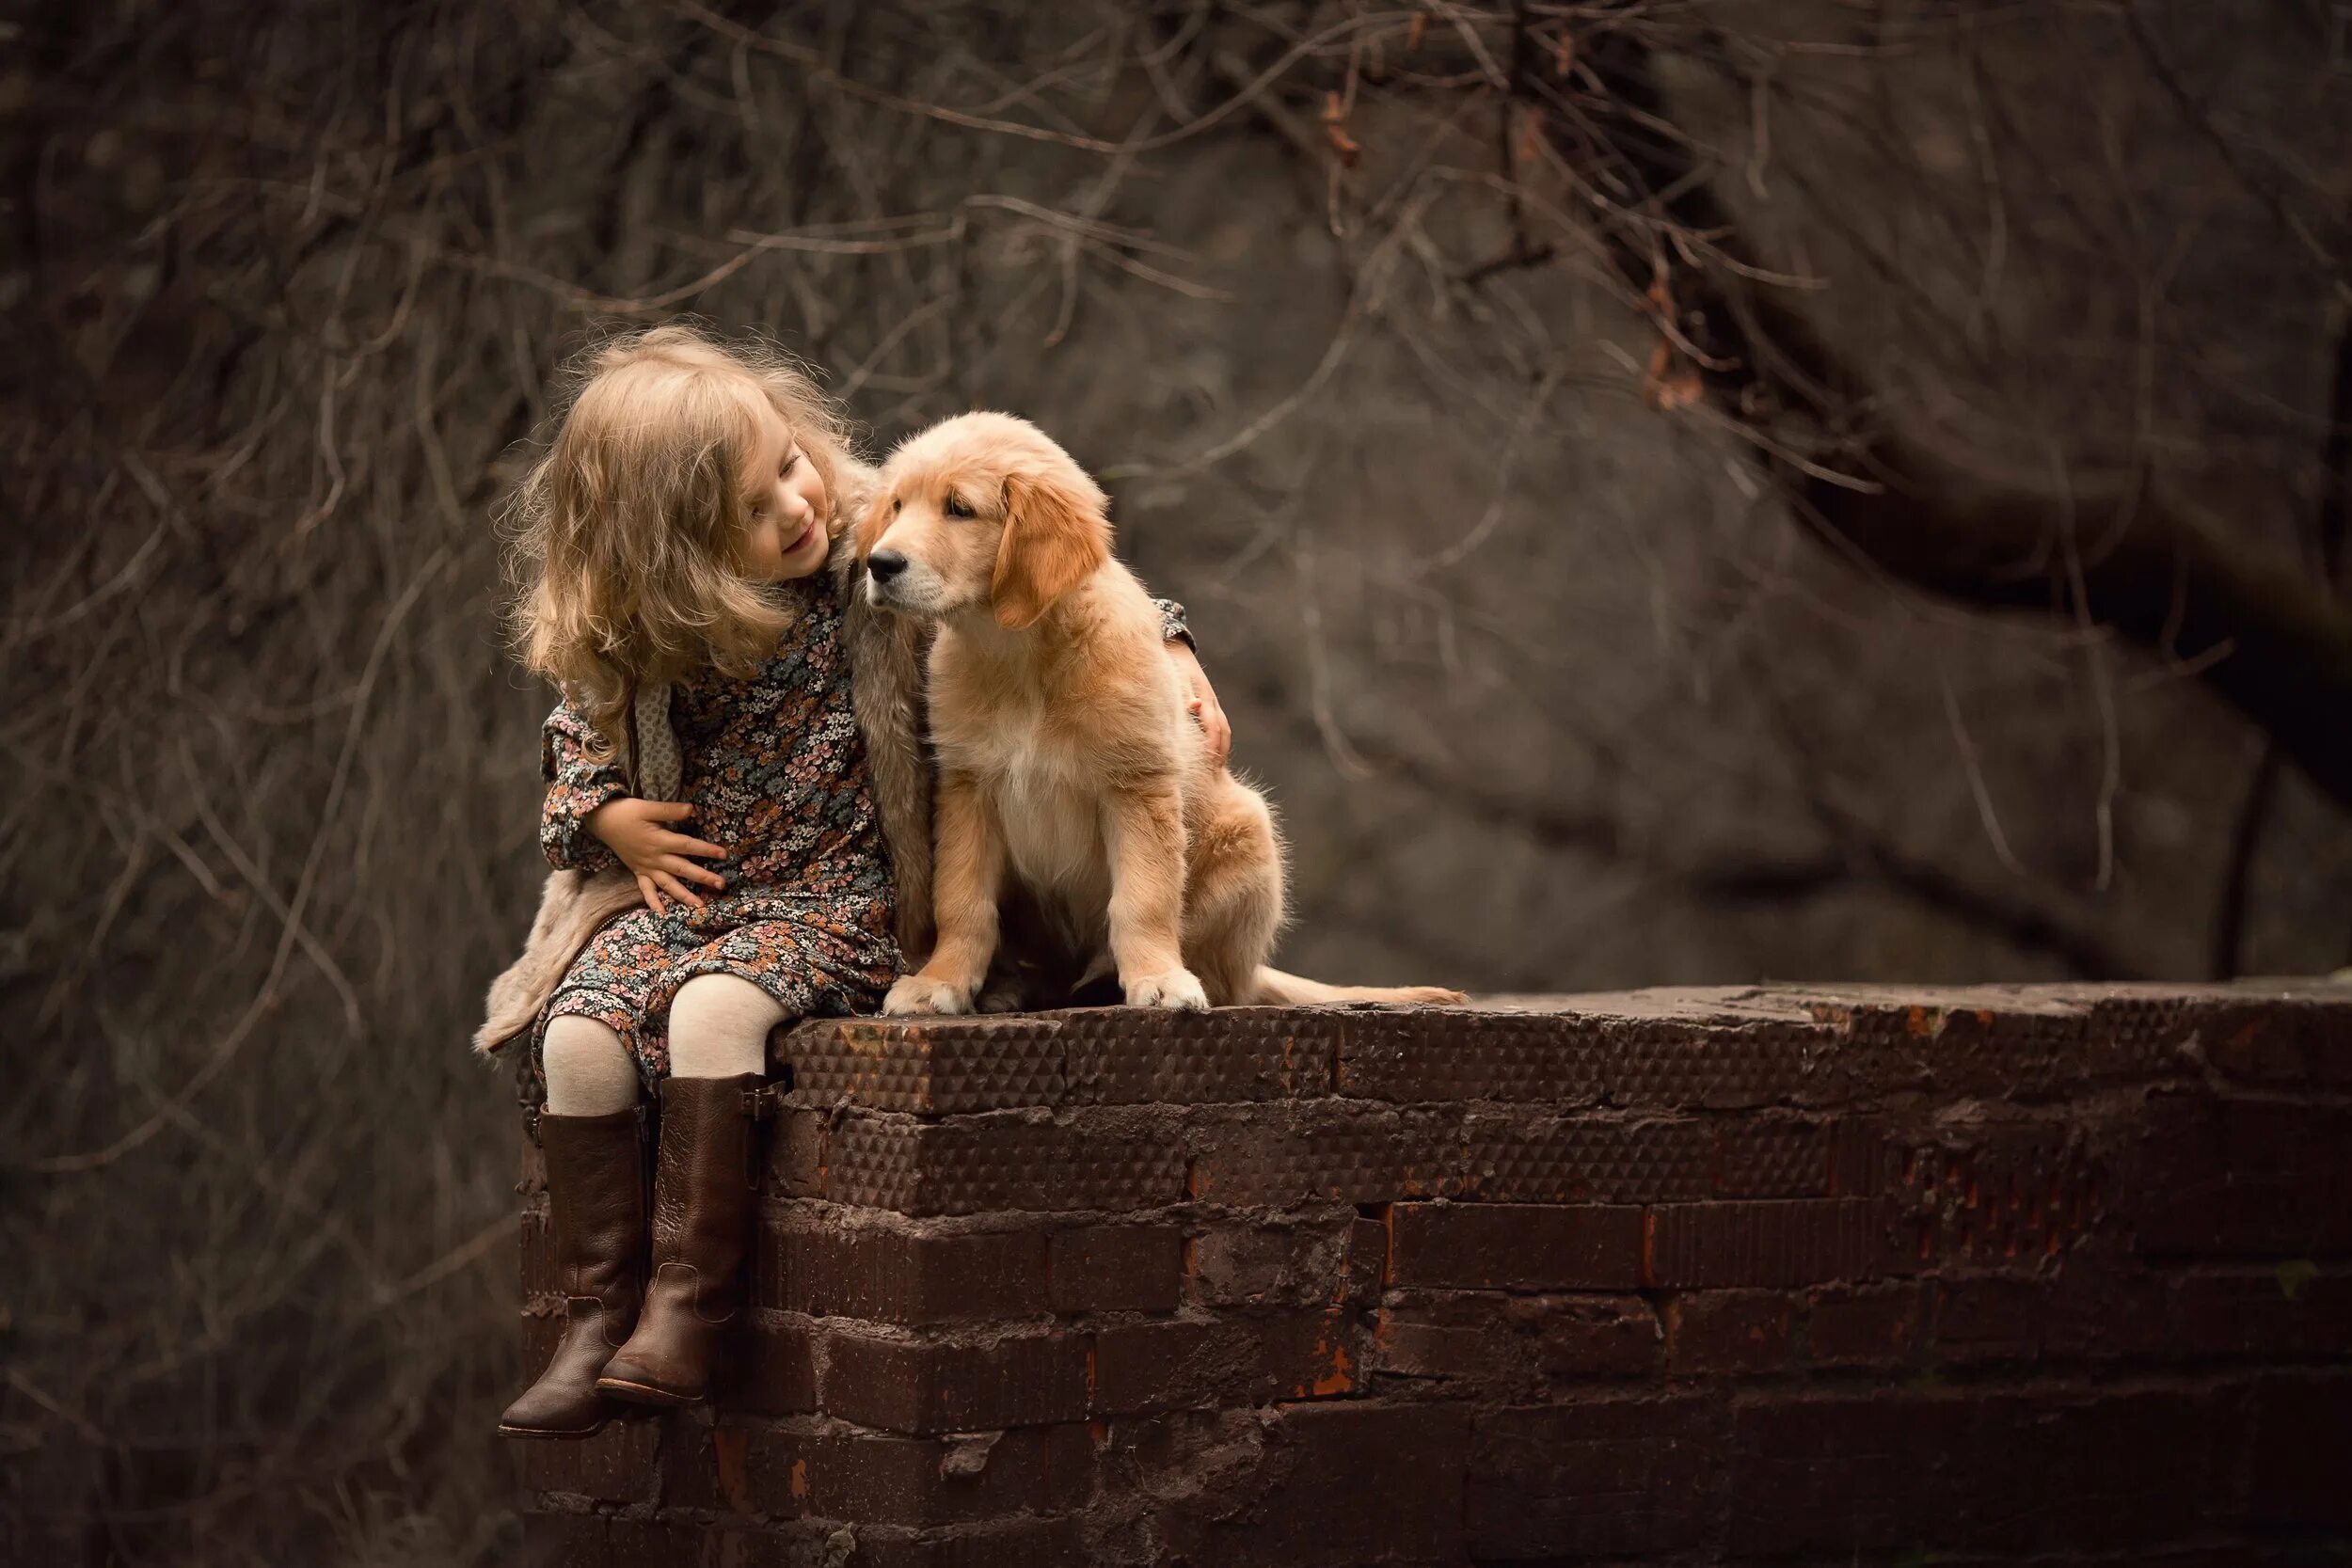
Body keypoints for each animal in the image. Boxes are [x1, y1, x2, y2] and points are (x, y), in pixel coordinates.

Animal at [856, 411, 1458, 1010]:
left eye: (959, 508)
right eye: (897, 506)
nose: (878, 564)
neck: (1021, 657)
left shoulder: (1136, 785)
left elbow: (1142, 900)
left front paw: (1158, 977)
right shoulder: (967, 786)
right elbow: (962, 902)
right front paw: (940, 981)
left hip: (1250, 835)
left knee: (1221, 978)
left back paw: (1112, 982)